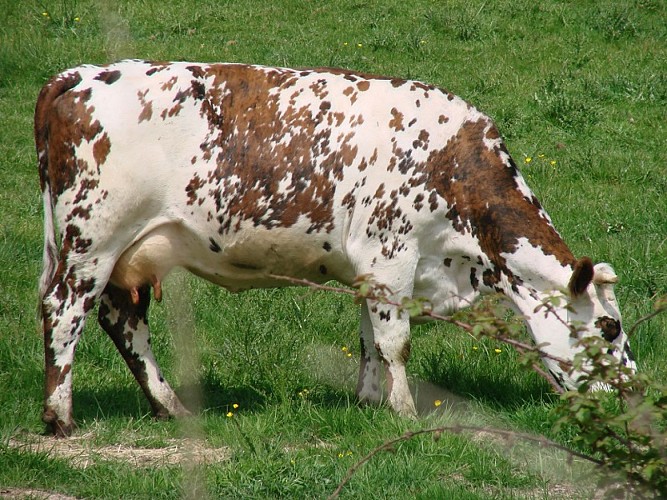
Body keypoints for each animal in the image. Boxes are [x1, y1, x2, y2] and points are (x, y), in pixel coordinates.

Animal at [35, 59, 636, 438]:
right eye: (609, 329)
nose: (632, 396)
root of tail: (79, 75)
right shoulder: (391, 255)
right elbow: (396, 342)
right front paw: (405, 412)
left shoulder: (372, 269)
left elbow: (370, 339)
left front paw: (369, 403)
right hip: (92, 241)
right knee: (63, 312)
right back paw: (60, 418)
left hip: (124, 252)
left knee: (122, 320)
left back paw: (172, 407)